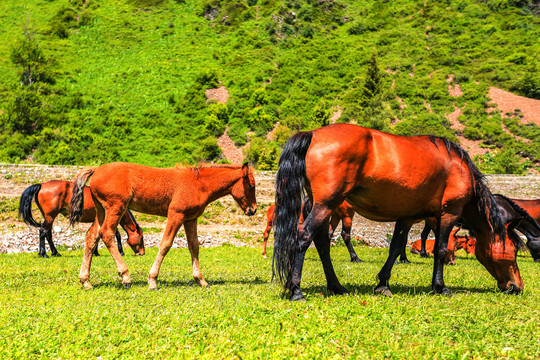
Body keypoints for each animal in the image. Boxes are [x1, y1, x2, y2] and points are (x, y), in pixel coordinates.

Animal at [18, 181, 146, 258]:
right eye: (141, 238)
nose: (142, 253)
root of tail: (41, 184)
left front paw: (95, 252)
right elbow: (116, 235)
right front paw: (120, 251)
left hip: (49, 217)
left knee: (48, 233)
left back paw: (54, 252)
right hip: (50, 216)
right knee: (43, 231)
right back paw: (44, 253)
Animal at [68, 162, 258, 290]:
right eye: (251, 185)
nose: (253, 209)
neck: (198, 183)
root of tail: (96, 169)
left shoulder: (190, 219)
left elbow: (194, 246)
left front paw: (201, 280)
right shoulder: (176, 214)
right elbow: (166, 244)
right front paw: (152, 280)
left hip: (102, 210)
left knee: (92, 236)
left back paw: (86, 281)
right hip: (116, 207)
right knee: (107, 233)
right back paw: (125, 276)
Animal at [274, 124, 524, 300]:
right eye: (512, 251)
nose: (517, 286)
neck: (459, 167)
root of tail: (313, 134)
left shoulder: (406, 217)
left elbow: (395, 248)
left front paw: (383, 284)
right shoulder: (448, 214)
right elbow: (441, 249)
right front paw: (440, 286)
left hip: (325, 207)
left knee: (322, 244)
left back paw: (336, 286)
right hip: (326, 204)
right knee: (304, 237)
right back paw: (296, 290)